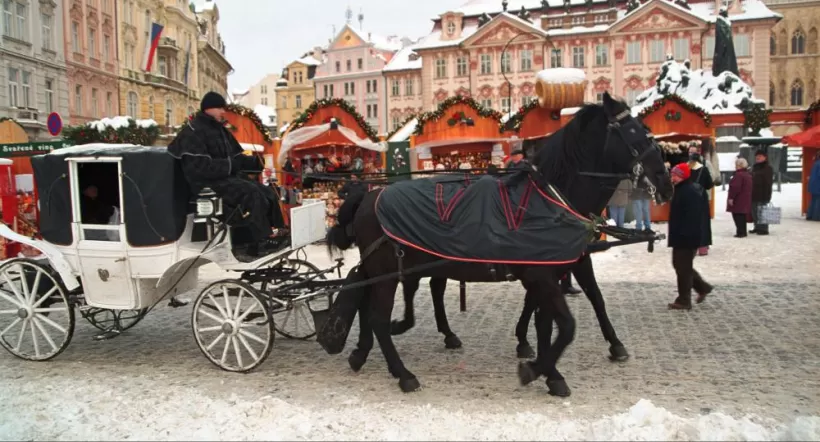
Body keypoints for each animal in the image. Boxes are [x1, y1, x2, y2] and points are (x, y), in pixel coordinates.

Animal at [326, 93, 673, 397]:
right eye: (635, 131)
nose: (665, 181)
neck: (551, 198)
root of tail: (367, 196)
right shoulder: (542, 275)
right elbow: (566, 325)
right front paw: (537, 368)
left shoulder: (554, 270)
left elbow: (553, 321)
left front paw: (549, 370)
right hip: (389, 271)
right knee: (378, 318)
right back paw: (403, 373)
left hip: (391, 269)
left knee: (373, 303)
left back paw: (363, 353)